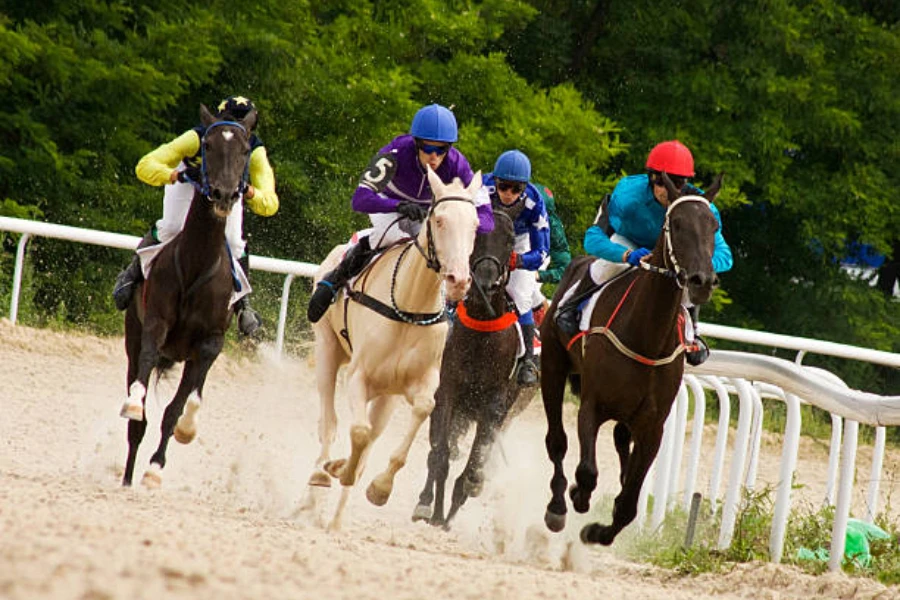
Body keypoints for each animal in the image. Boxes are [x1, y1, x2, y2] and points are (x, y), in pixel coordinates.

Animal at [118, 103, 253, 488]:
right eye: (207, 145)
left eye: (244, 150)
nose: (224, 194)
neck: (196, 264)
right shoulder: (155, 322)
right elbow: (145, 381)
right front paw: (135, 404)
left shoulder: (211, 340)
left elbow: (180, 408)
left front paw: (158, 464)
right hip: (131, 331)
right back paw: (127, 477)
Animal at [414, 206, 536, 524]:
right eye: (476, 235)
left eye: (510, 239)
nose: (485, 282)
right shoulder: (447, 392)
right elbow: (440, 455)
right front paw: (433, 511)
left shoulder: (494, 405)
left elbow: (474, 464)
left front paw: (458, 503)